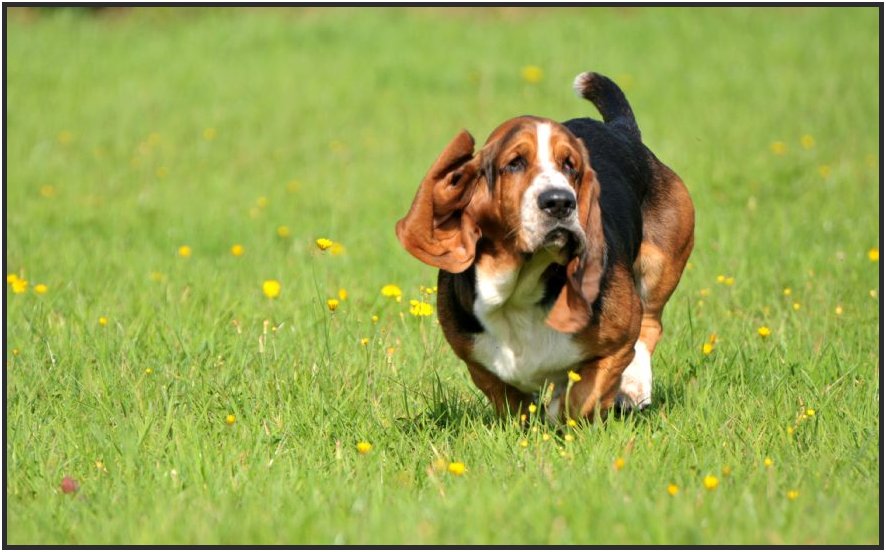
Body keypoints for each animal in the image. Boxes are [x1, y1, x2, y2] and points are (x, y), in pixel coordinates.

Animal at [396, 70, 692, 422]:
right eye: (514, 163)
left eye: (570, 165)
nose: (560, 202)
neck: (519, 288)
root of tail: (622, 131)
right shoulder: (478, 363)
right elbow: (511, 400)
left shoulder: (616, 344)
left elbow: (580, 398)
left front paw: (561, 412)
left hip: (660, 263)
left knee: (651, 323)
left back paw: (633, 388)